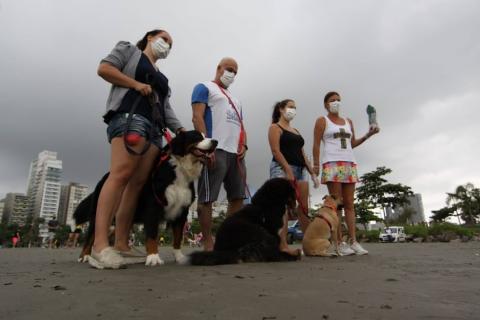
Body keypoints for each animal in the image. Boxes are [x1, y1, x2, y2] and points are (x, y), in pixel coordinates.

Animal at [74, 130, 217, 264]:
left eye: (206, 136)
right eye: (197, 137)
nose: (215, 141)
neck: (180, 171)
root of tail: (105, 177)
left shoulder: (182, 210)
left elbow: (177, 237)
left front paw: (179, 257)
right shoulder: (153, 206)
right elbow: (152, 235)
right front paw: (153, 257)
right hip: (99, 211)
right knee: (91, 235)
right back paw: (84, 256)